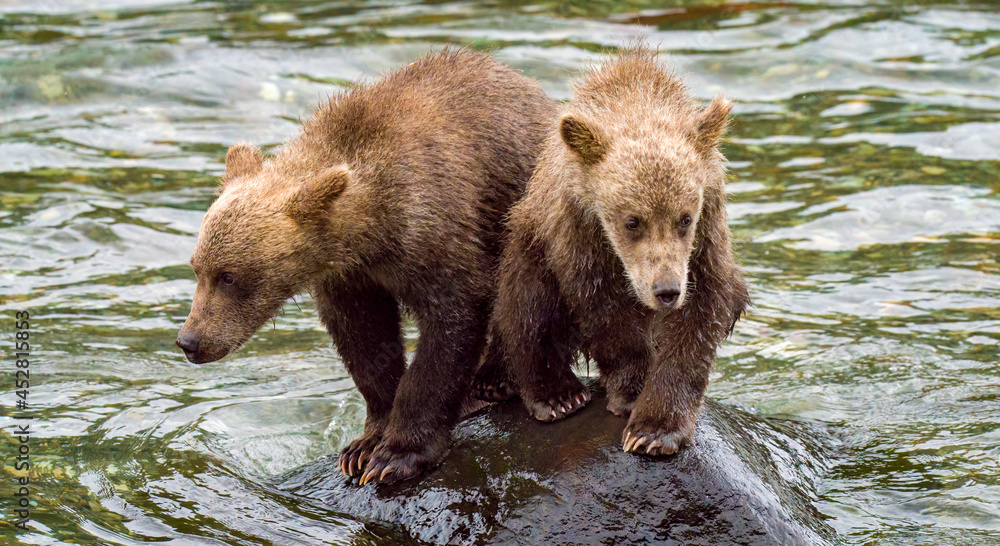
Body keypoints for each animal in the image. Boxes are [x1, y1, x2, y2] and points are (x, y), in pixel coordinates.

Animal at [175, 49, 557, 483]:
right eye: (197, 268)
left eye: (229, 276)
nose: (190, 340)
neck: (369, 226)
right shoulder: (349, 277)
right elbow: (365, 341)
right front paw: (363, 445)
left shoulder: (434, 230)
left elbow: (452, 321)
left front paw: (398, 453)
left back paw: (495, 380)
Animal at [472, 44, 750, 456]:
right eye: (632, 221)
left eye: (685, 218)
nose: (666, 291)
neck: (636, 99)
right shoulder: (578, 233)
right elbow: (602, 311)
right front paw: (631, 392)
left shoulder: (705, 238)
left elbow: (701, 317)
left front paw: (656, 428)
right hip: (527, 242)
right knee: (525, 307)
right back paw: (549, 393)